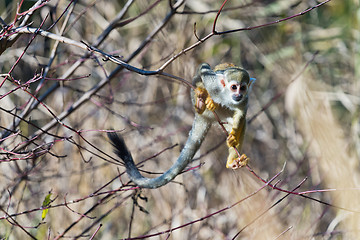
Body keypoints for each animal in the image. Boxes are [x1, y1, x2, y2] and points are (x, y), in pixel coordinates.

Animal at [108, 62, 255, 188]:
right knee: (200, 81)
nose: (238, 94)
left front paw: (233, 137)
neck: (226, 96)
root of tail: (205, 117)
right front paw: (201, 90)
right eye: (234, 87)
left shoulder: (245, 99)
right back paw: (201, 102)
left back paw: (233, 162)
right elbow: (204, 69)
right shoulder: (214, 85)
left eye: (243, 88)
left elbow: (241, 114)